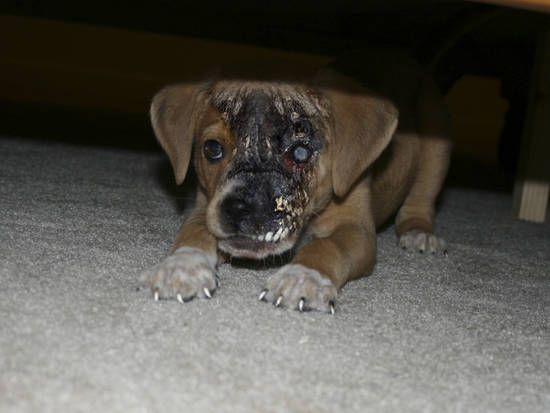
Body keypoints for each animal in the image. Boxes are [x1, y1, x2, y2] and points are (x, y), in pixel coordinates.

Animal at [139, 52, 452, 316]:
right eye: (212, 148)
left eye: (300, 152)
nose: (240, 209)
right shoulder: (206, 205)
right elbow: (194, 232)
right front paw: (181, 265)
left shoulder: (356, 228)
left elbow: (327, 246)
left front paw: (302, 276)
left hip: (436, 145)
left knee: (421, 198)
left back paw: (419, 233)